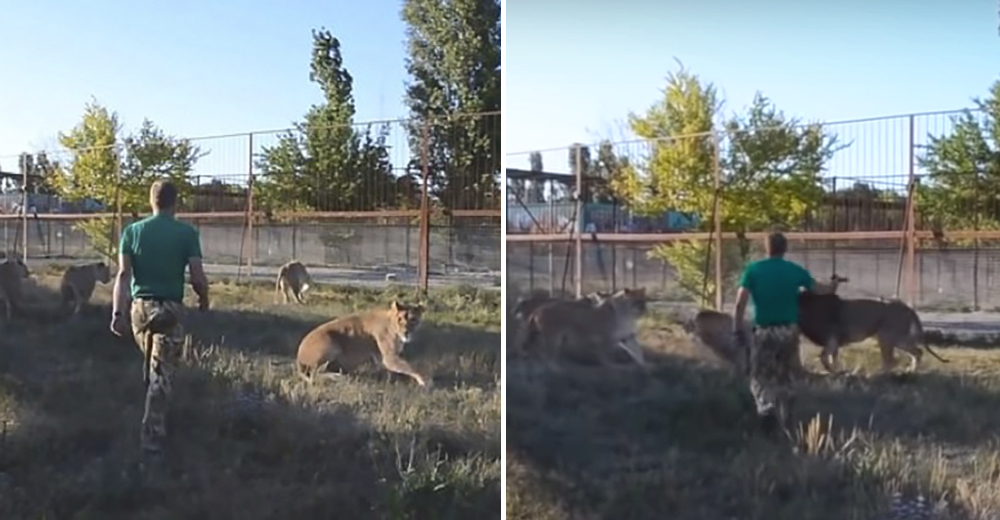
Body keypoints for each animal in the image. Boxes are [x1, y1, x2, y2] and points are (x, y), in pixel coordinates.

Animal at [292, 300, 428, 386]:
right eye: (400, 319)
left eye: (413, 319)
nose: (406, 332)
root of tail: (298, 355)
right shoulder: (390, 358)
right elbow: (413, 368)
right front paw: (425, 382)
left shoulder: (387, 358)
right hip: (331, 342)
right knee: (315, 373)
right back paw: (338, 377)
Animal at [512, 288, 652, 370]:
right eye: (636, 302)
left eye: (644, 301)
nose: (644, 310)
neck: (628, 316)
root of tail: (538, 310)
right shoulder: (605, 337)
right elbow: (607, 356)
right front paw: (613, 366)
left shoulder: (629, 337)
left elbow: (638, 352)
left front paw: (645, 366)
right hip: (553, 337)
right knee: (546, 355)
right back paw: (556, 369)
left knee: (534, 349)